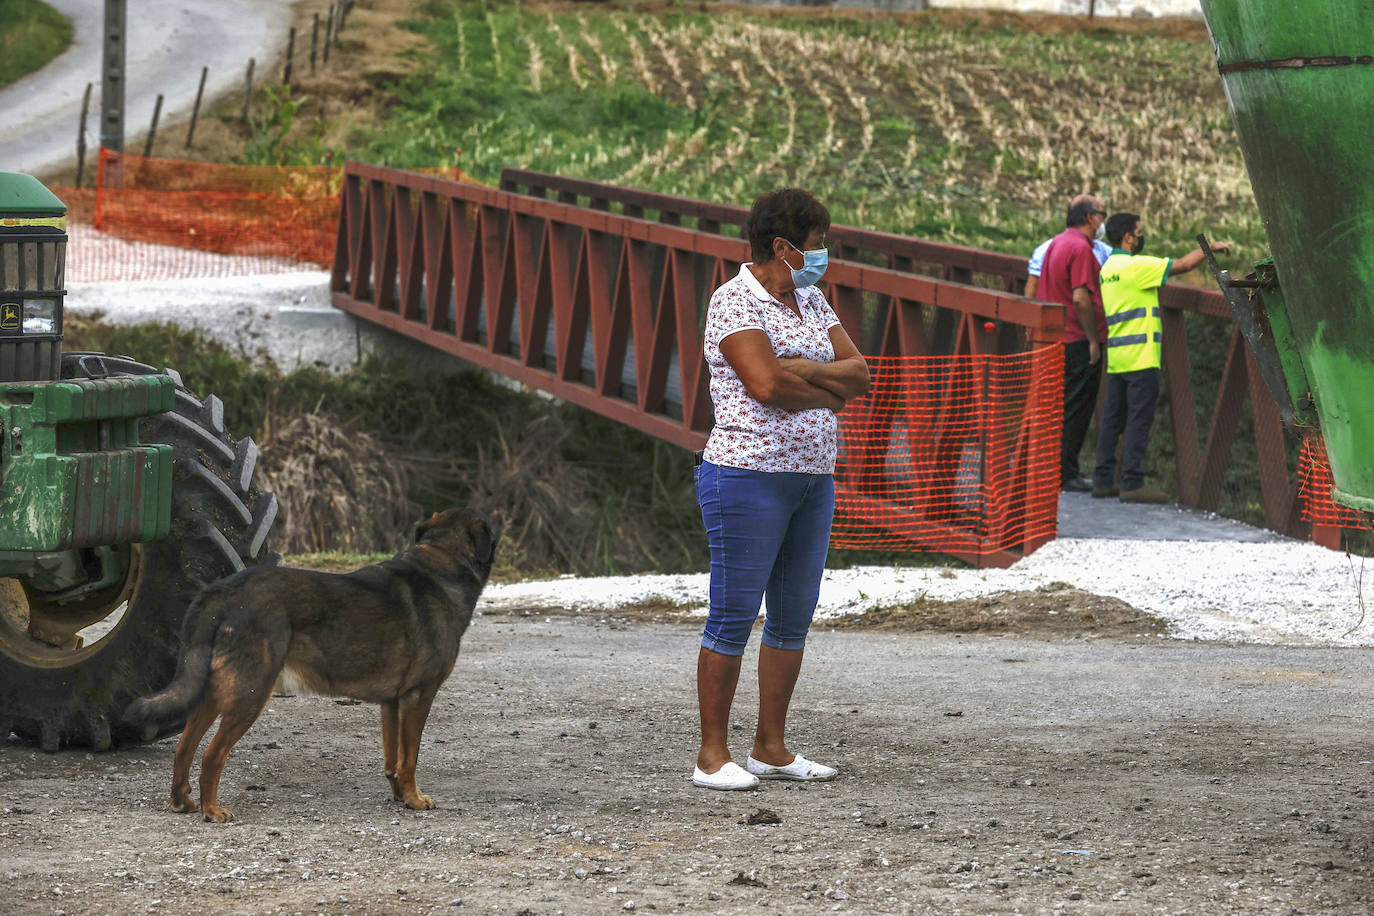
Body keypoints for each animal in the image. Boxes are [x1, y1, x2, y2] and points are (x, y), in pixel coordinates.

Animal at [123, 508, 497, 823]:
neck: (441, 561)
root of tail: (224, 591)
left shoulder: (391, 704)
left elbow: (393, 758)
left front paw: (399, 795)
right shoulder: (418, 698)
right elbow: (411, 758)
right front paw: (414, 799)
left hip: (214, 692)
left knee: (185, 747)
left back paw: (182, 801)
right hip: (250, 694)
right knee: (212, 755)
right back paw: (211, 809)